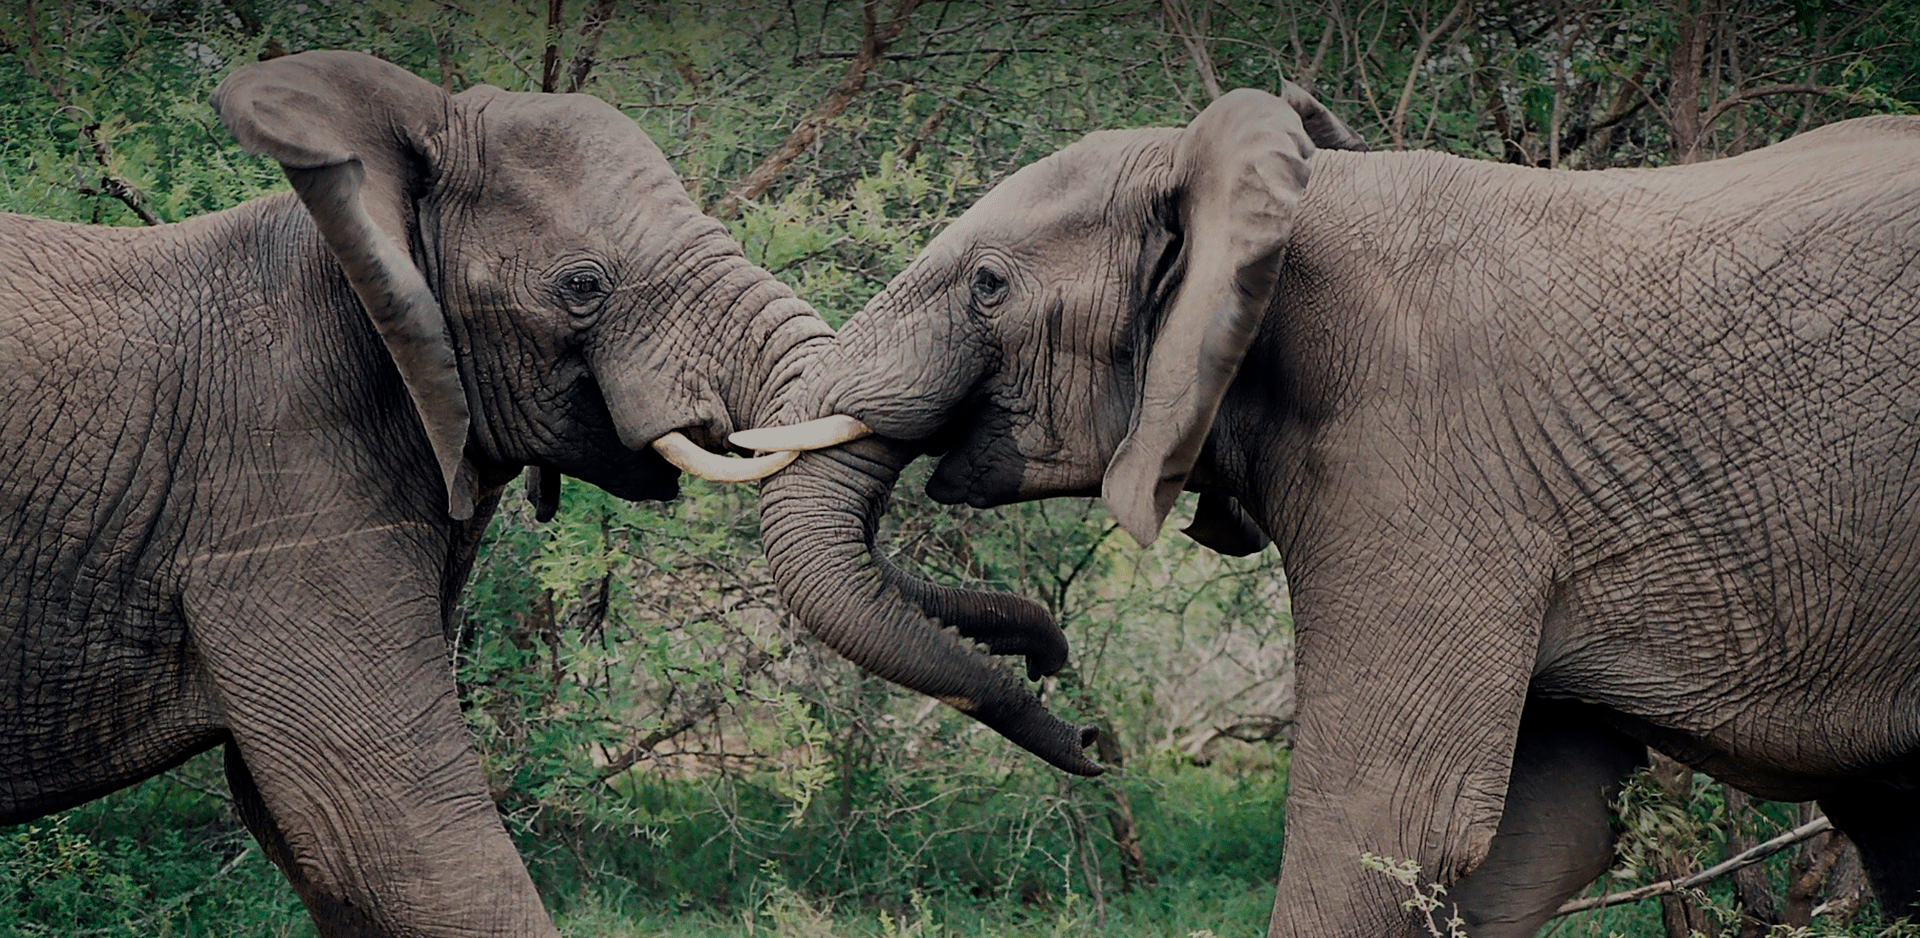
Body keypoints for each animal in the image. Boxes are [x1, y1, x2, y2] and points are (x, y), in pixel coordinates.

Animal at [745, 83, 1920, 937]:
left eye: (988, 284)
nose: (1084, 728)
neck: (1276, 193)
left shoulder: (1428, 459)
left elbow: (1394, 822)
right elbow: (1530, 842)